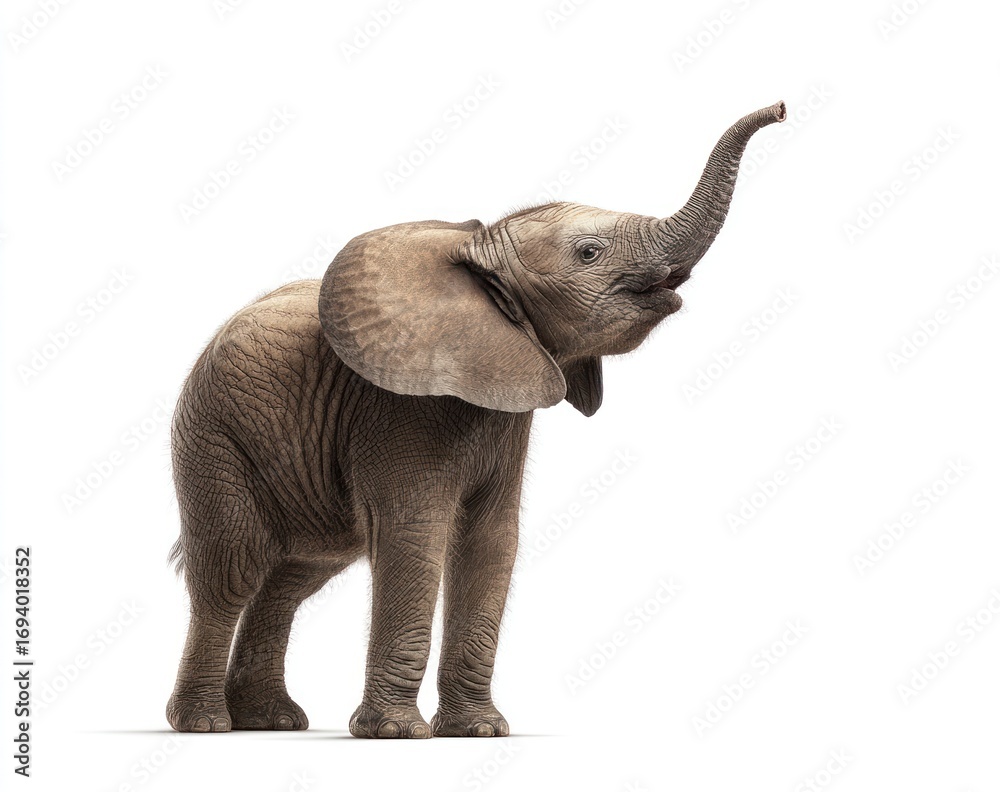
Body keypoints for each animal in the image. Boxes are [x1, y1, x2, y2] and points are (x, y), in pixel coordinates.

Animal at [165, 100, 786, 737]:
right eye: (589, 252)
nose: (781, 109)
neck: (478, 255)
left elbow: (491, 541)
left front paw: (478, 731)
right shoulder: (399, 411)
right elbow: (415, 536)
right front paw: (395, 734)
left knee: (293, 576)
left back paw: (272, 721)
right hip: (212, 435)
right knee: (233, 570)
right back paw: (207, 724)